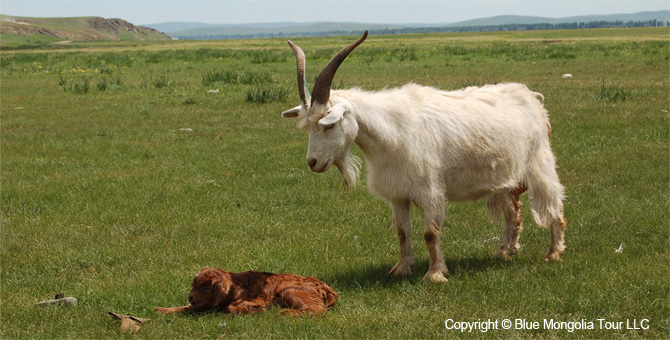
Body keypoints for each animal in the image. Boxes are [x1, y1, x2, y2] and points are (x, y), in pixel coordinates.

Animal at [280, 30, 568, 282]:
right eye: (307, 128)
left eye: (328, 125)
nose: (312, 163)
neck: (390, 132)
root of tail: (532, 98)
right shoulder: (397, 193)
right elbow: (402, 232)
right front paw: (402, 268)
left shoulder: (431, 191)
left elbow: (430, 234)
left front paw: (435, 275)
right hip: (506, 179)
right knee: (513, 214)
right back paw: (505, 251)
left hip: (540, 164)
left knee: (555, 204)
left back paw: (554, 252)